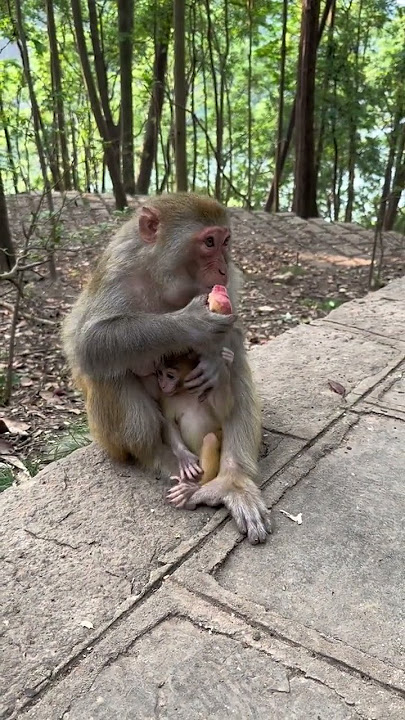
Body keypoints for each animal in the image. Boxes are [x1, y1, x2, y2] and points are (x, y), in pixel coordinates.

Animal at [156, 345, 235, 485]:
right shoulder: (165, 398)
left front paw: (224, 366)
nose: (162, 384)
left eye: (170, 376)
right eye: (160, 373)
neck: (185, 391)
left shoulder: (206, 388)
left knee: (210, 438)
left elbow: (224, 411)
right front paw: (184, 457)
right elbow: (170, 423)